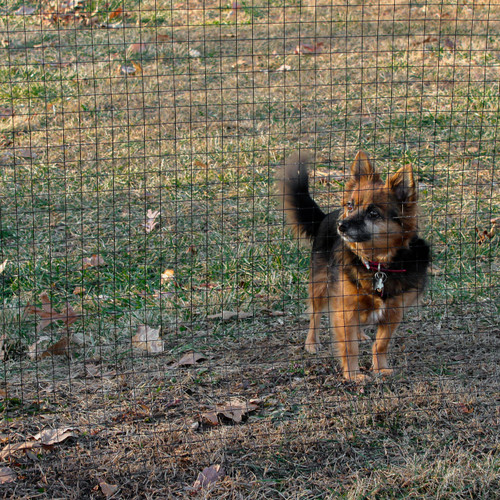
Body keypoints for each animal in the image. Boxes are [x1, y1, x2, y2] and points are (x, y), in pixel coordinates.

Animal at [278, 150, 430, 380]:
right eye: (350, 205)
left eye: (373, 213)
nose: (341, 225)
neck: (377, 265)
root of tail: (327, 216)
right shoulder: (344, 308)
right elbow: (349, 347)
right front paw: (352, 375)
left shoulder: (393, 312)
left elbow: (381, 344)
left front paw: (380, 368)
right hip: (320, 285)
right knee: (315, 315)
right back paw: (312, 343)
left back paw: (360, 335)